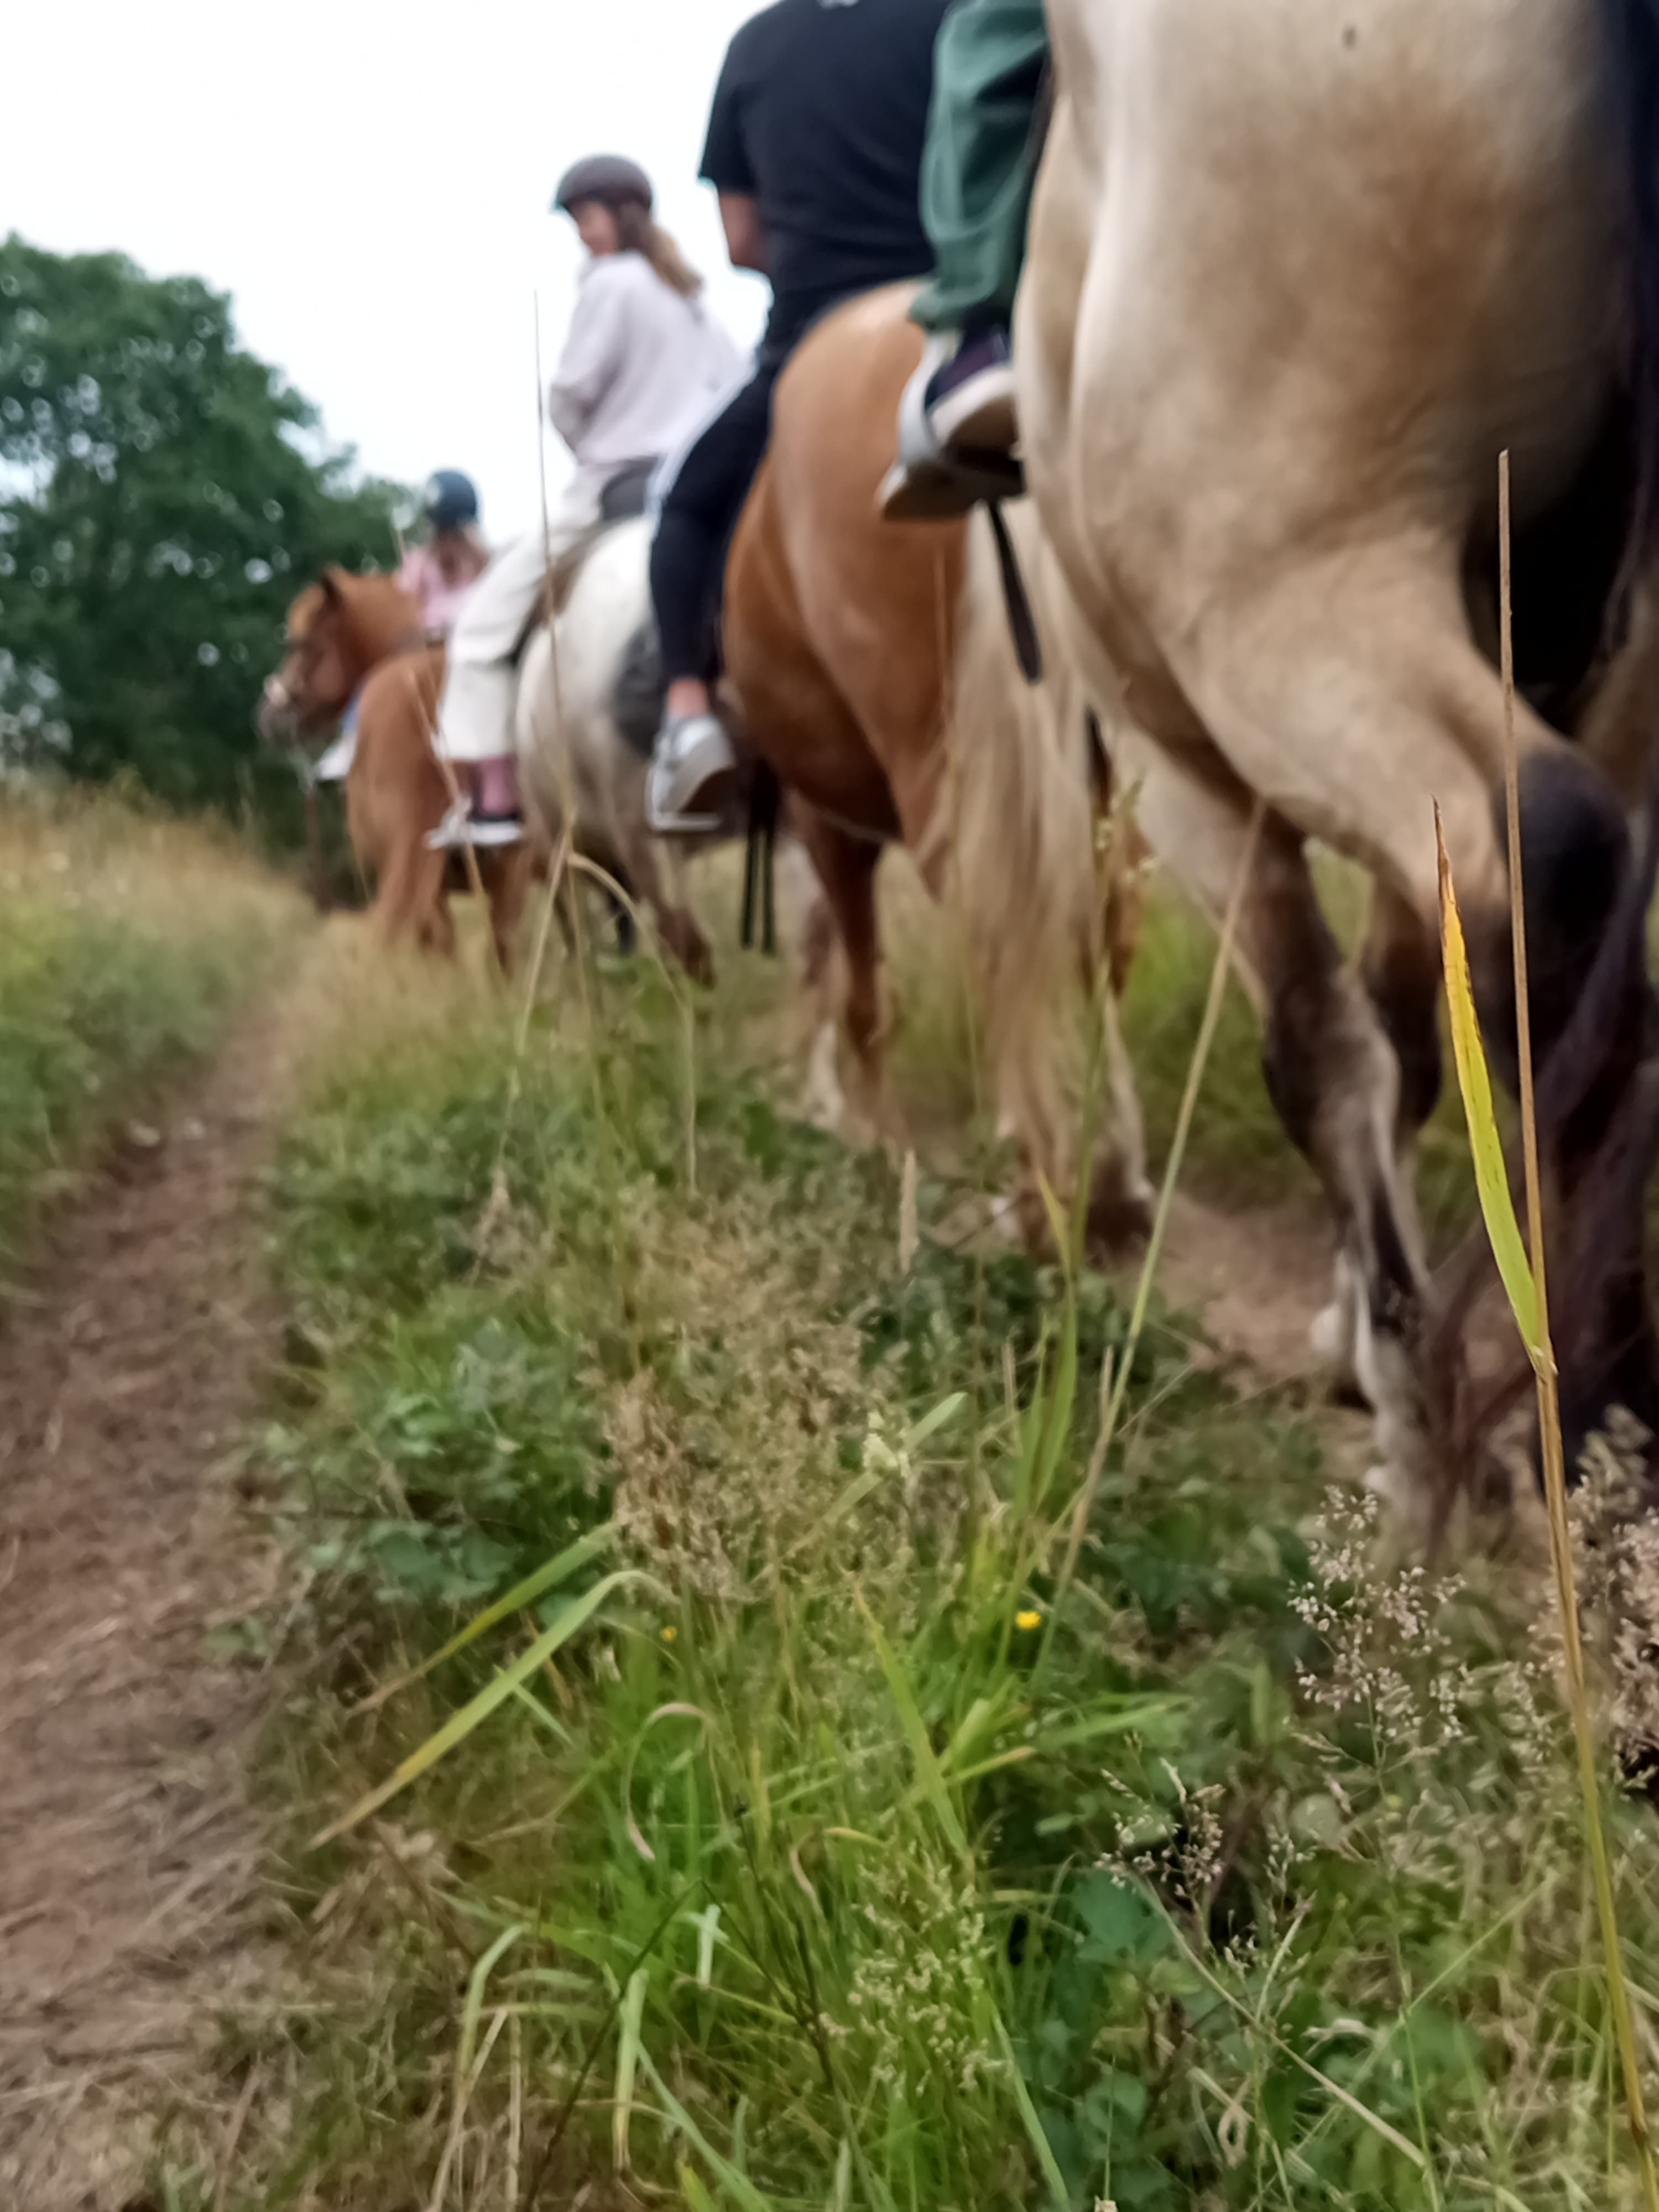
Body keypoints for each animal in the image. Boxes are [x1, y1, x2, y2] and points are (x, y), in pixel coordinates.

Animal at [723, 282, 1152, 1246]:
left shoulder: (827, 823)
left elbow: (862, 997)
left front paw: (878, 1141)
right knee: (1105, 905)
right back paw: (1111, 1169)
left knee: (999, 926)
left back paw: (1045, 1189)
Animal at [1018, 0, 1659, 1507]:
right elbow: (1410, 1026)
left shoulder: (1179, 755)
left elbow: (1319, 1040)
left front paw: (1395, 1370)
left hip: (1302, 592)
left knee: (1544, 858)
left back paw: (1551, 1415)